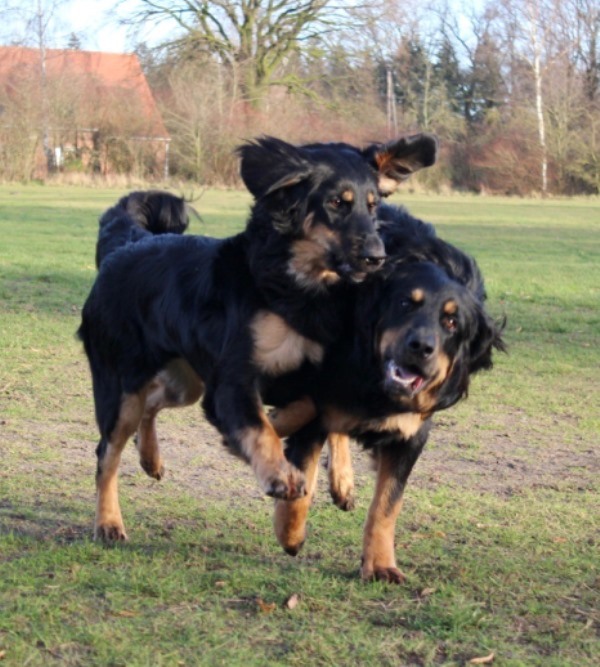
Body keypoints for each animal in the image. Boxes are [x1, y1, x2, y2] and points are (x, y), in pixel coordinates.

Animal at [78, 134, 438, 542]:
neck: (299, 291)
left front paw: (340, 477)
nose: (378, 257)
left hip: (186, 382)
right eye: (336, 203)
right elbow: (259, 428)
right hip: (121, 388)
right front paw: (280, 473)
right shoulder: (232, 381)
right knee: (107, 453)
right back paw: (108, 521)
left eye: (373, 206)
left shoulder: (326, 374)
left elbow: (315, 413)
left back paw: (150, 457)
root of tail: (125, 246)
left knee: (151, 405)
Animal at [265, 203, 506, 582]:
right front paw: (291, 535)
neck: (376, 383)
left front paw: (379, 564)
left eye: (452, 322)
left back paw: (342, 481)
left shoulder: (410, 435)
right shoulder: (319, 402)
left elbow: (387, 505)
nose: (421, 347)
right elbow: (301, 481)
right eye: (406, 303)